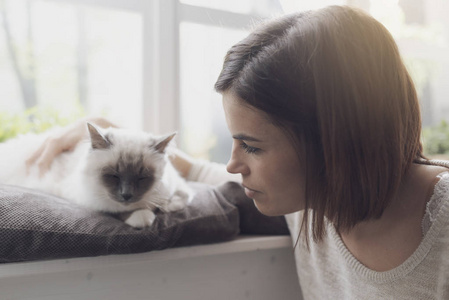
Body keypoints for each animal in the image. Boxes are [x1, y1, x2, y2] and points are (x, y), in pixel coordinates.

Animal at [0, 123, 192, 229]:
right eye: (114, 176)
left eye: (142, 178)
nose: (126, 195)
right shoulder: (89, 198)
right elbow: (115, 210)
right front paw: (143, 217)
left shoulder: (176, 185)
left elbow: (181, 196)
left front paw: (167, 205)